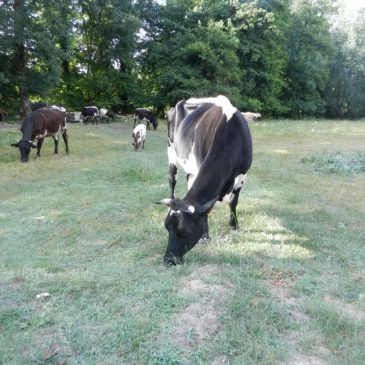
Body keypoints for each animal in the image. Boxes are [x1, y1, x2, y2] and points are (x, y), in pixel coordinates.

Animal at [156, 95, 253, 264]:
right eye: (166, 227)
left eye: (184, 231)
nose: (169, 260)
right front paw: (204, 236)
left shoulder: (242, 174)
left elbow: (233, 201)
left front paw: (234, 225)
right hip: (171, 153)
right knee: (172, 181)